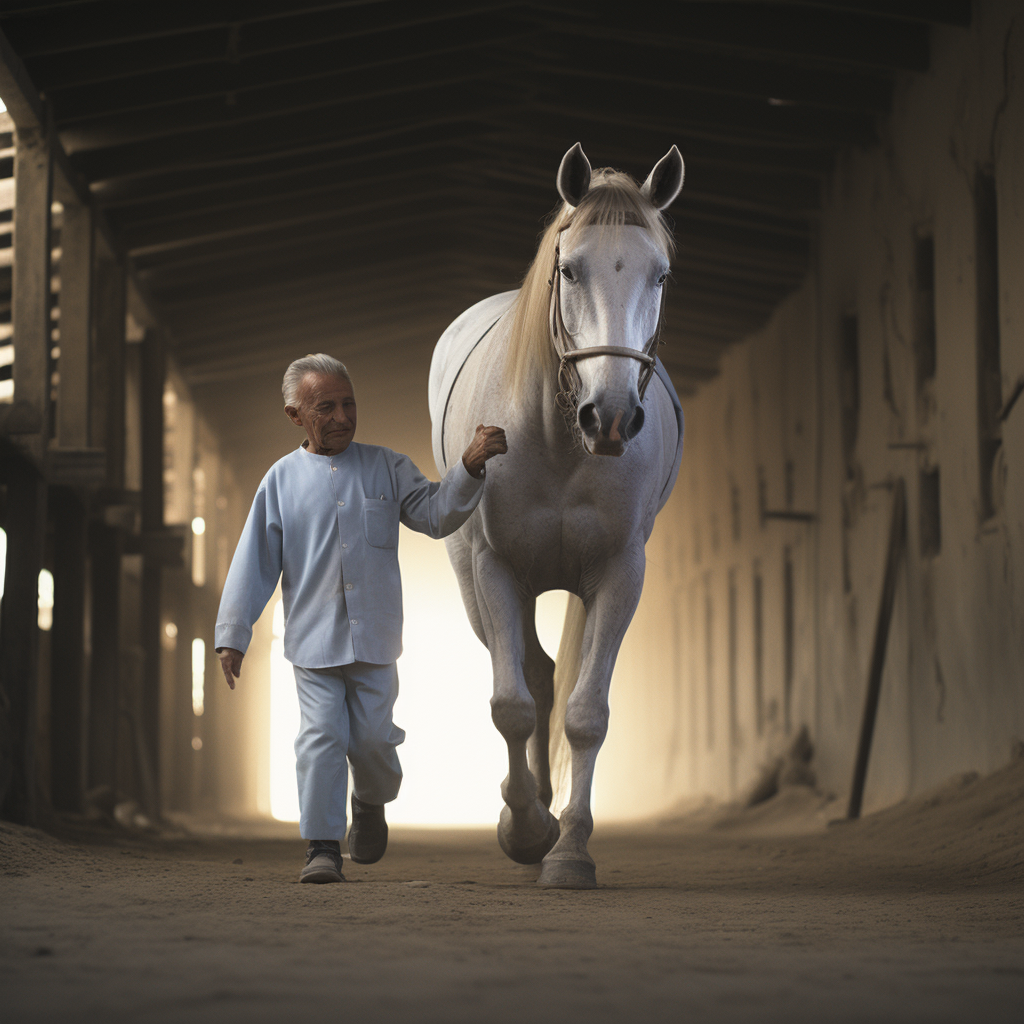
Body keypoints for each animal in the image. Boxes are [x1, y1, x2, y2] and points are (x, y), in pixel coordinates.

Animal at [428, 144, 684, 888]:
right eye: (570, 269)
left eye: (660, 273)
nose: (613, 416)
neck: (559, 439)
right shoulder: (495, 570)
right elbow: (512, 705)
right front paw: (524, 831)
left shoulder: (620, 575)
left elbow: (586, 715)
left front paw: (569, 850)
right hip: (475, 583)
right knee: (531, 676)